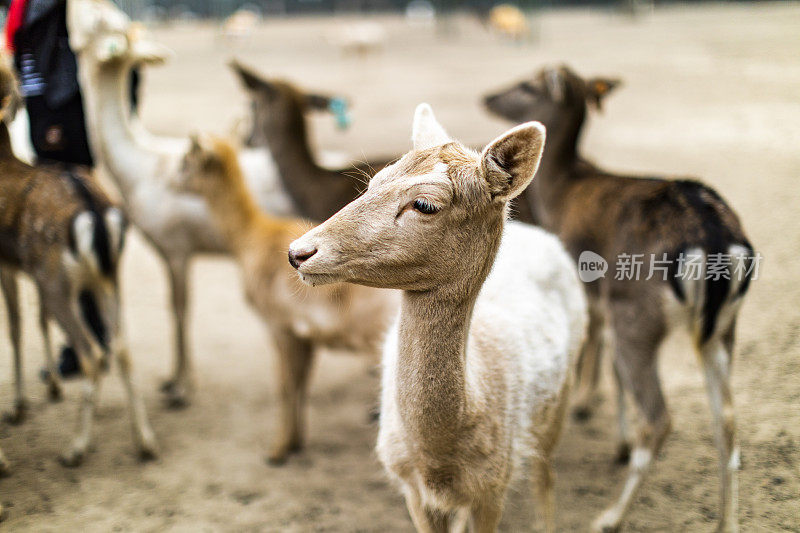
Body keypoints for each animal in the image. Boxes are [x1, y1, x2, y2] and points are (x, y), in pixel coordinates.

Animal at [290, 105, 588, 532]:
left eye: (425, 205)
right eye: (373, 183)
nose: (299, 251)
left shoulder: (494, 485)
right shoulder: (411, 489)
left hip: (557, 404)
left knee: (546, 475)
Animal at [482, 66, 756, 532]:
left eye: (527, 84)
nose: (487, 97)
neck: (562, 189)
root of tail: (716, 239)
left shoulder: (593, 291)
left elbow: (594, 345)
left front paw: (584, 406)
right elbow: (612, 367)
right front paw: (616, 439)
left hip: (638, 315)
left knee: (661, 418)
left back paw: (609, 516)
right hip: (723, 326)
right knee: (728, 420)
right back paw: (727, 523)